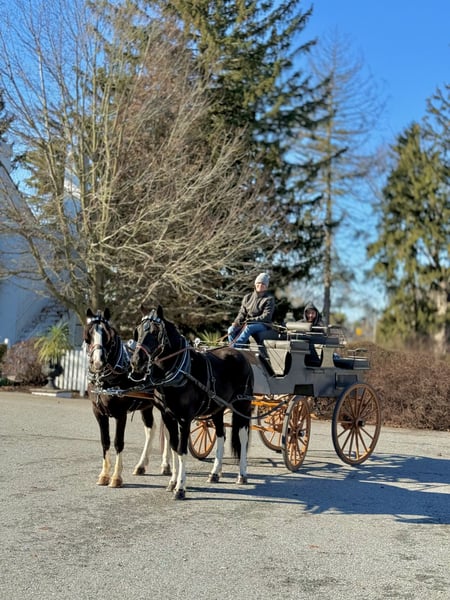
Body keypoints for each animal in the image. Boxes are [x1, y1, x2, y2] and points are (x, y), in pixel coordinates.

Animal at [84, 308, 174, 488]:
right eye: (88, 336)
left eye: (108, 336)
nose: (97, 362)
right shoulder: (98, 413)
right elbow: (105, 441)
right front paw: (104, 475)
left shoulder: (121, 414)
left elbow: (118, 442)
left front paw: (116, 477)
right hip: (147, 406)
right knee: (151, 429)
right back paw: (141, 465)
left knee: (167, 433)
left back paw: (165, 465)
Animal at [129, 304, 254, 500]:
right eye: (138, 331)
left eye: (156, 332)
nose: (136, 362)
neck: (178, 371)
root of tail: (240, 354)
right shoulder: (168, 417)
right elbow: (174, 447)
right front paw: (172, 482)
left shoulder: (184, 419)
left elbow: (182, 450)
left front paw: (180, 488)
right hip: (217, 408)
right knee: (221, 434)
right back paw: (215, 473)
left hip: (242, 405)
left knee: (242, 436)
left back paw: (242, 475)